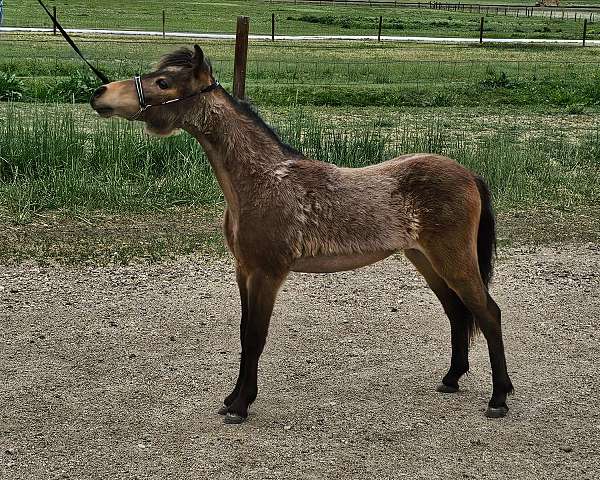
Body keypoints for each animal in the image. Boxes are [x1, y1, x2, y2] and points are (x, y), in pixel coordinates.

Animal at [91, 45, 512, 424]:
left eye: (163, 82)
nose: (100, 93)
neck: (262, 180)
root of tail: (469, 174)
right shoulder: (245, 272)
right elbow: (244, 334)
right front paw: (231, 399)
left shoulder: (268, 273)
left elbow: (255, 337)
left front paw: (240, 406)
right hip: (425, 259)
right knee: (457, 312)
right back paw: (451, 379)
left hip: (452, 258)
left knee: (488, 313)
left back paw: (498, 399)